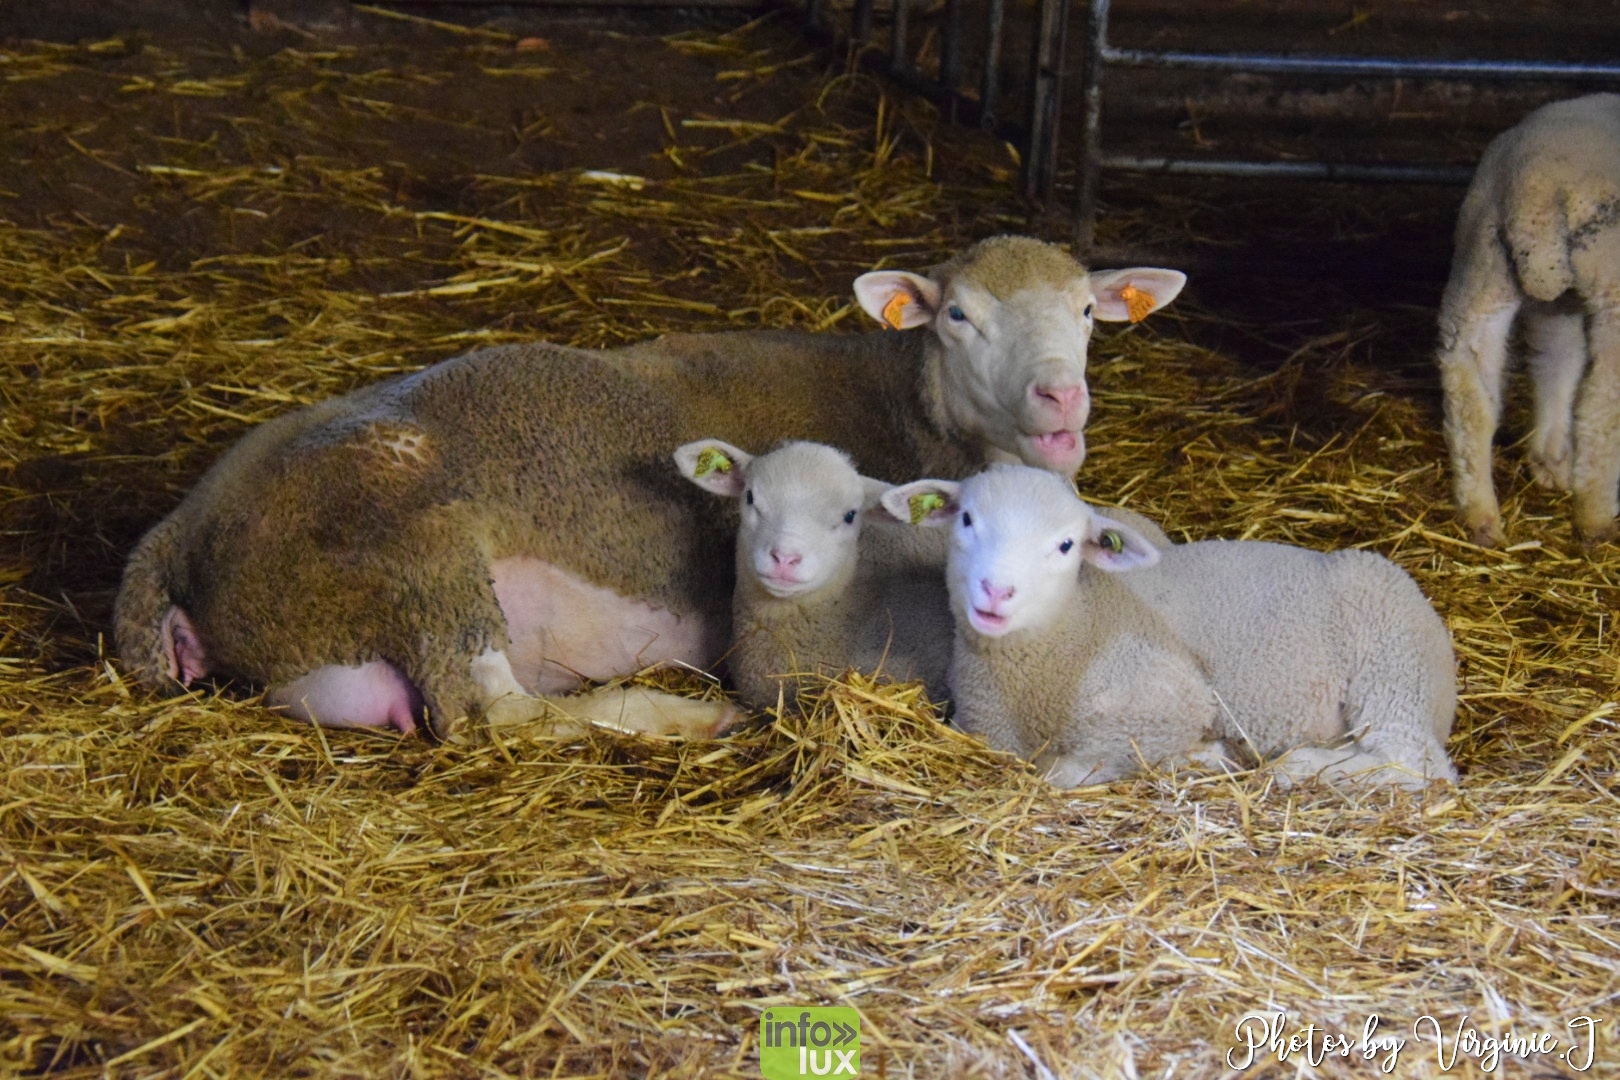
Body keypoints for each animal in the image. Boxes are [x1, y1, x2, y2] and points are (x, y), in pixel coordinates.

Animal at [110, 236, 1179, 738]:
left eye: (1090, 312)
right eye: (958, 316)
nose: (1061, 398)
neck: (903, 401)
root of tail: (177, 531)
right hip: (416, 551)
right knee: (493, 712)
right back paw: (686, 717)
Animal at [887, 469, 1458, 790]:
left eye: (1066, 545)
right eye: (966, 520)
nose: (996, 591)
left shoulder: (1170, 700)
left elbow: (1064, 772)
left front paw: (1206, 757)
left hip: (1393, 668)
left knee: (1419, 762)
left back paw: (1299, 767)